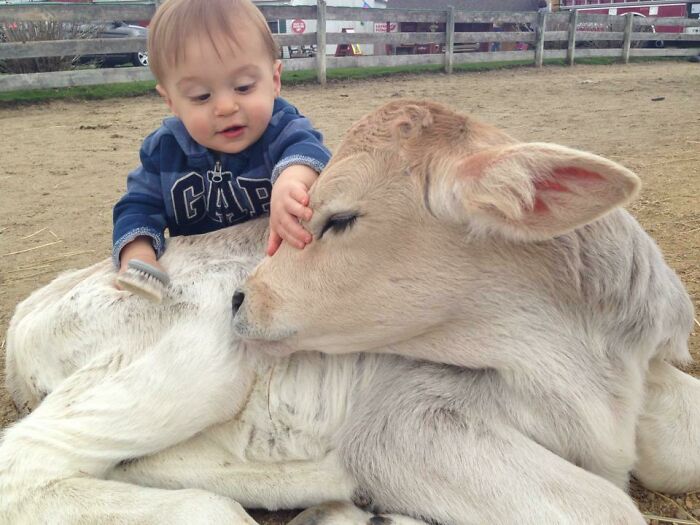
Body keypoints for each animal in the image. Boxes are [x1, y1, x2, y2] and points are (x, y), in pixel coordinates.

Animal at [1, 100, 698, 525]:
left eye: (339, 218)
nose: (244, 297)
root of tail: (41, 301)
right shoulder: (404, 422)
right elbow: (608, 507)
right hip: (189, 355)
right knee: (31, 465)